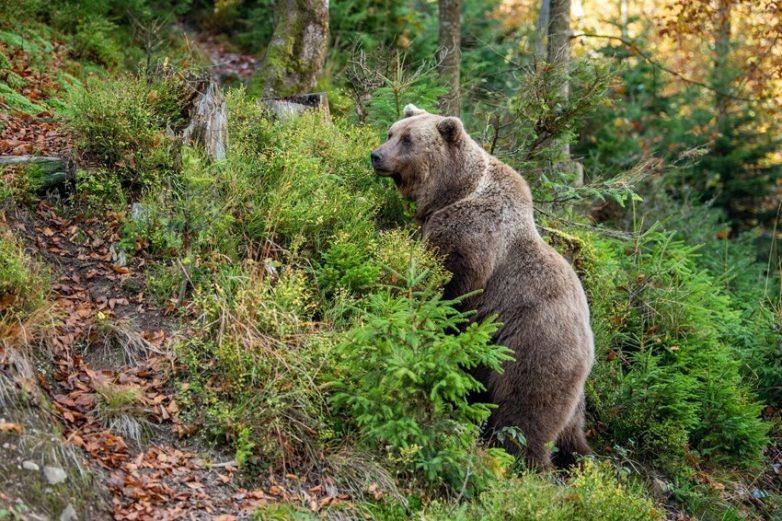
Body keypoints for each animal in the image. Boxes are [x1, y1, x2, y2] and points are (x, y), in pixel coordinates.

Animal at [372, 102, 596, 468]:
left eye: (408, 140)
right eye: (392, 132)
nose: (376, 155)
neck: (452, 192)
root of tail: (590, 356)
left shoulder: (475, 235)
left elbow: (452, 281)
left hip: (535, 351)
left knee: (525, 413)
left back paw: (518, 460)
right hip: (573, 400)